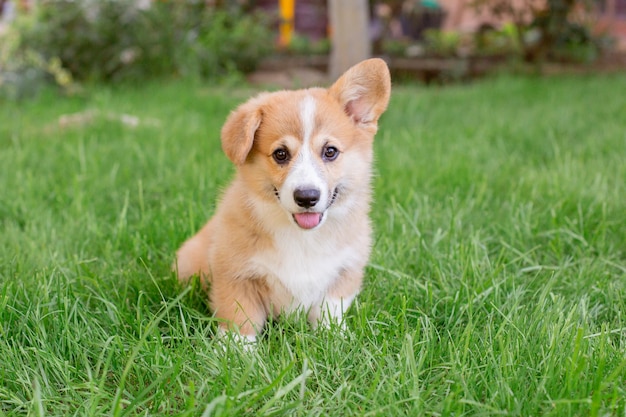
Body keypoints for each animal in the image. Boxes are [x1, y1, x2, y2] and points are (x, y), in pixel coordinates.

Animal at [174, 57, 390, 342]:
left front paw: (334, 338)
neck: (302, 237)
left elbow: (330, 310)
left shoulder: (345, 271)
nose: (307, 197)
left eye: (330, 151)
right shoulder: (235, 274)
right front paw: (235, 349)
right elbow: (239, 317)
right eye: (280, 154)